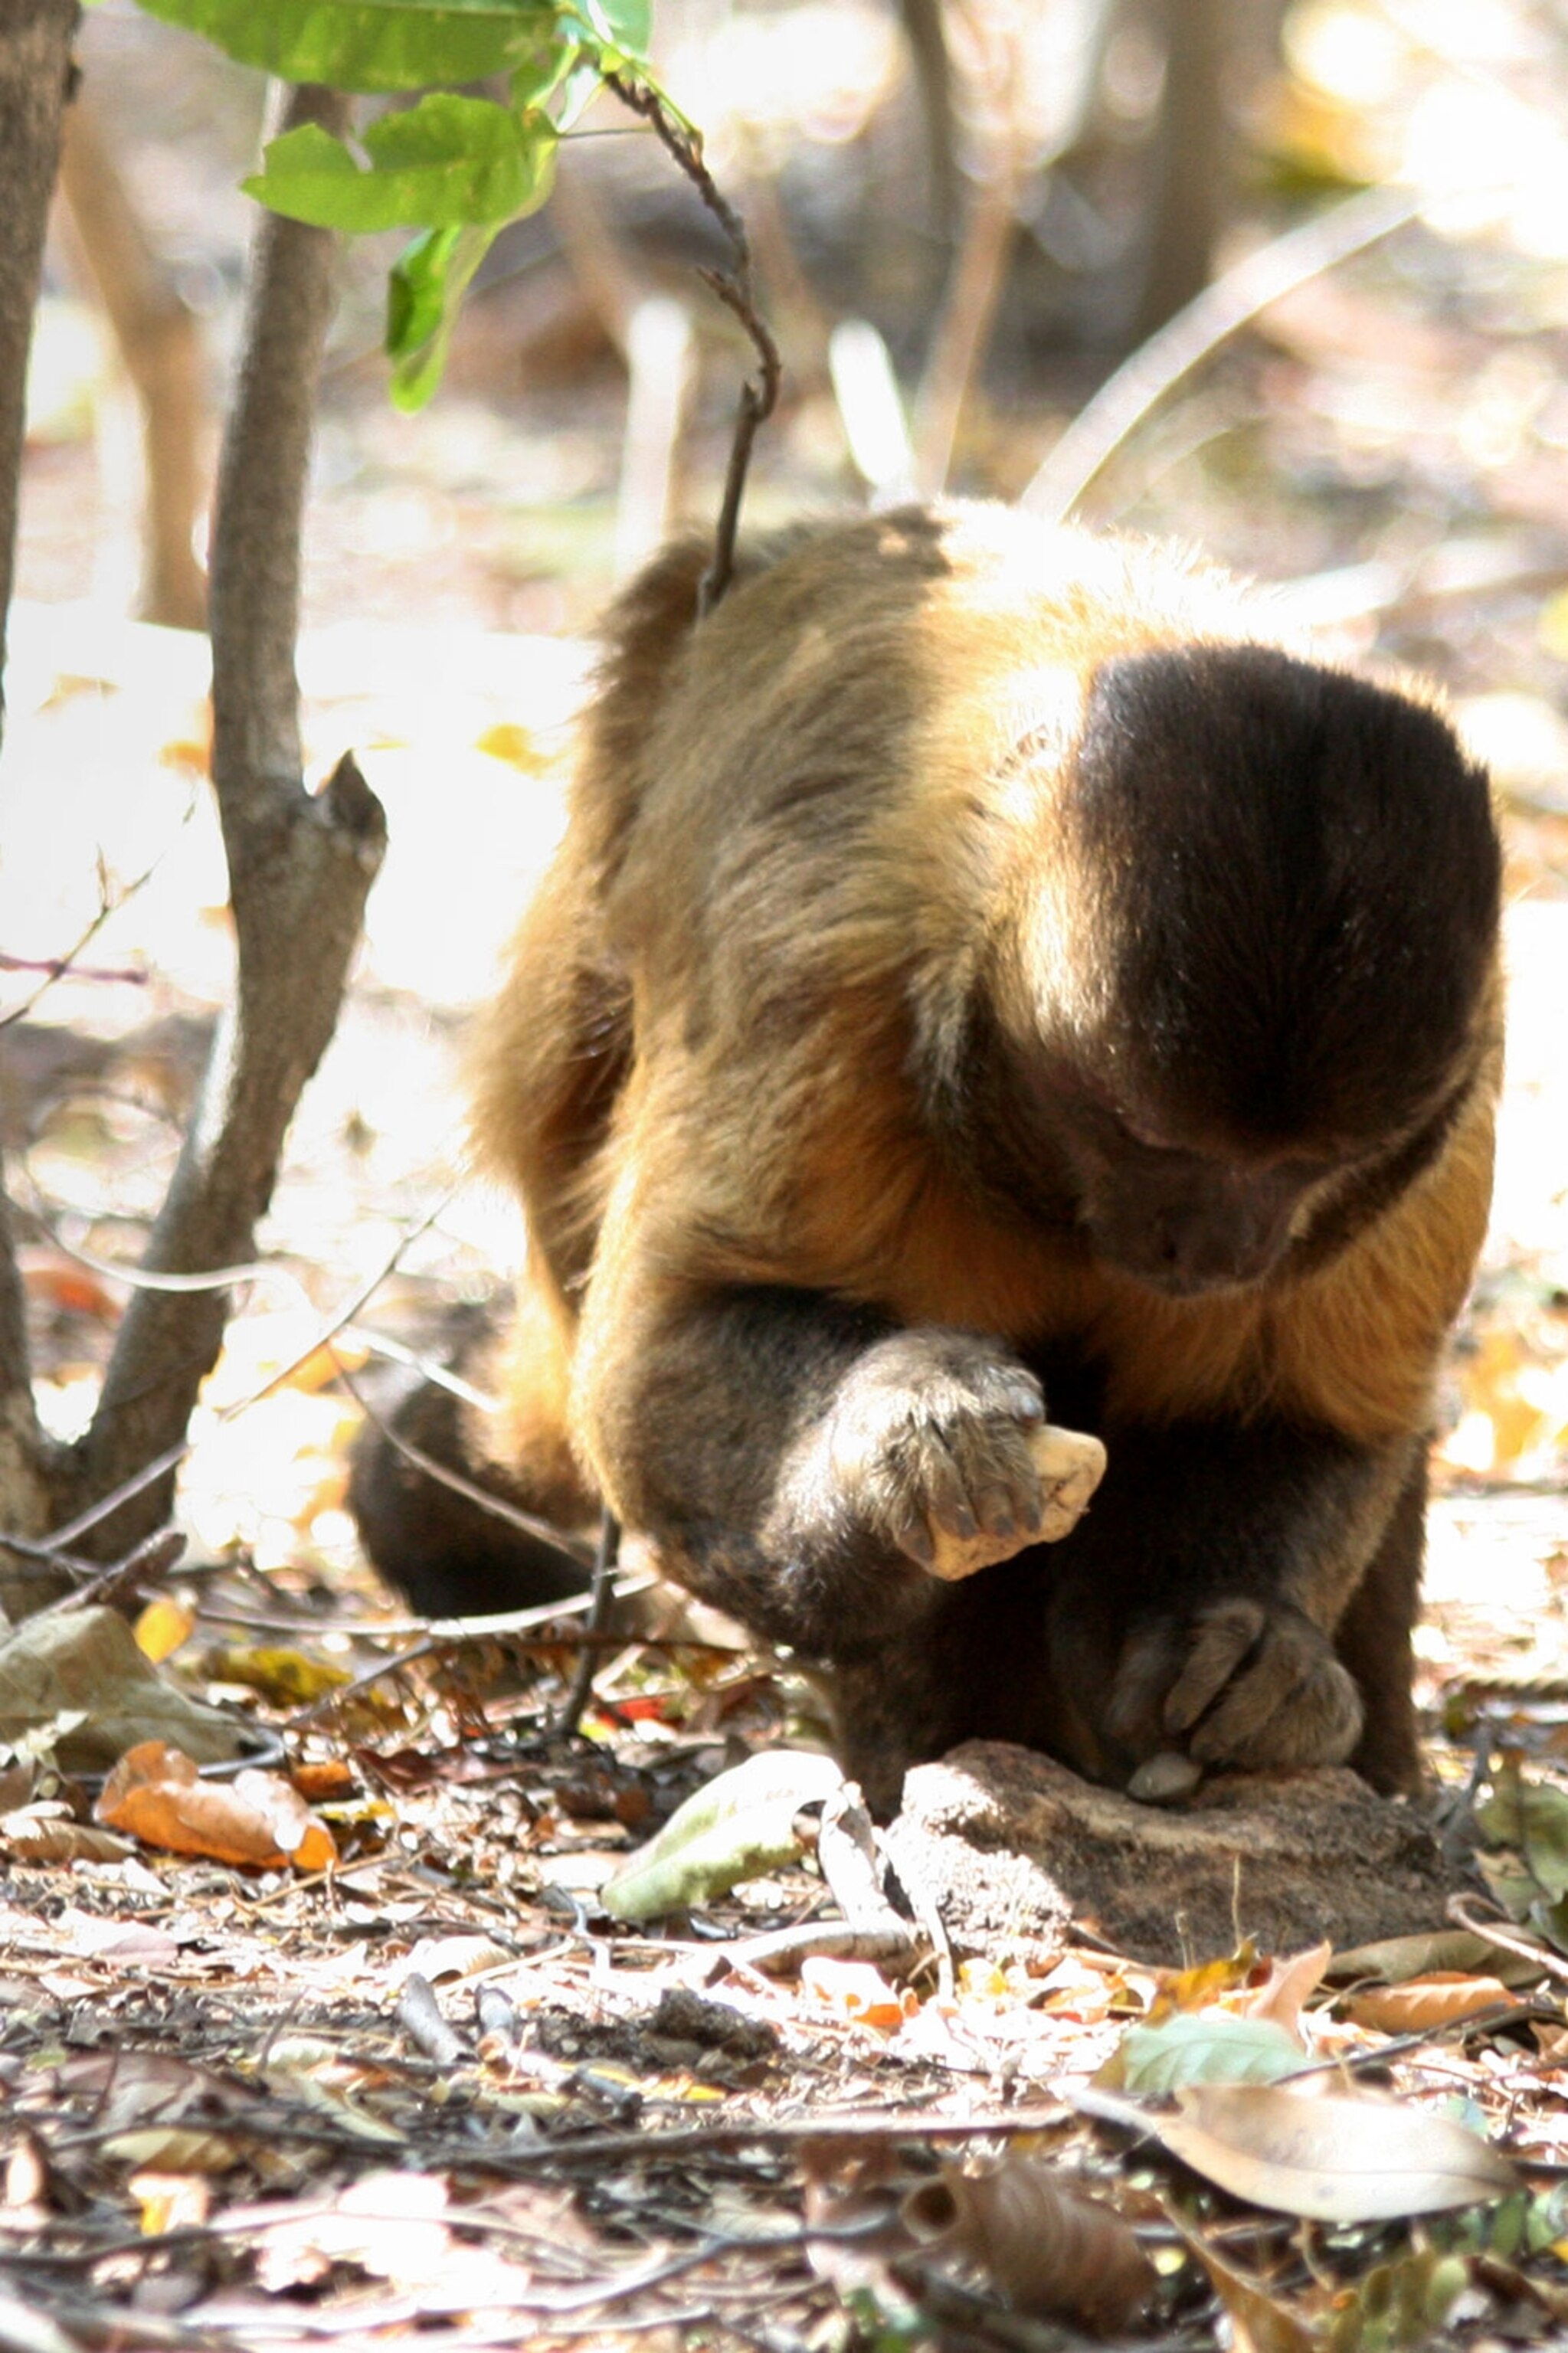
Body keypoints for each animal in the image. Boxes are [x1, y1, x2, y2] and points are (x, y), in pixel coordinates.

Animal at [353, 501, 1503, 1819]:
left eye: (1304, 1169)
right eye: (1149, 1142)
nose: (1215, 1247)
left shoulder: (1451, 1103)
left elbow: (1293, 1421)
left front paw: (1246, 1656)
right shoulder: (820, 982)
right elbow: (660, 1359)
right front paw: (901, 1435)